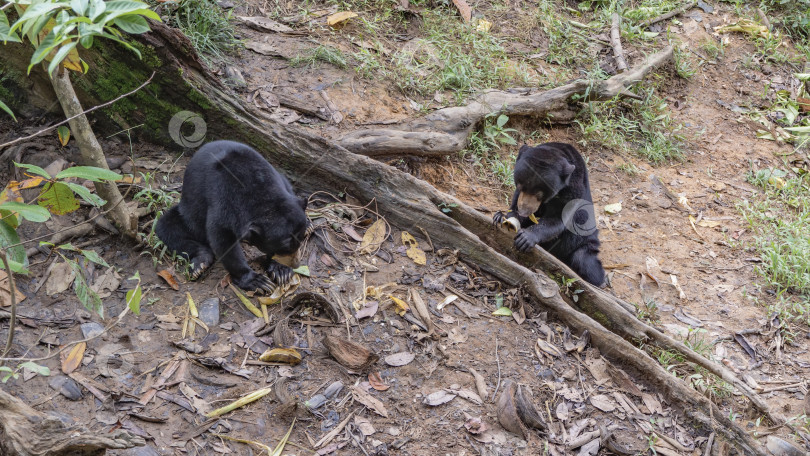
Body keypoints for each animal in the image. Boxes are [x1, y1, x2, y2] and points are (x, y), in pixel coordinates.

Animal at [156, 141, 310, 294]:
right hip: (188, 212)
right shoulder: (222, 202)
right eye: (284, 248)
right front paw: (258, 281)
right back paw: (200, 264)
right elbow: (222, 241)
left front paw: (281, 271)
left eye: (300, 240)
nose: (296, 264)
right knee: (167, 228)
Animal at [492, 142, 608, 284]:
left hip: (583, 242)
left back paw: (602, 281)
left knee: (585, 261)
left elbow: (556, 219)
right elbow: (515, 203)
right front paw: (502, 217)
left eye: (539, 194)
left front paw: (526, 238)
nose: (524, 211)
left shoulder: (573, 190)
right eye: (520, 185)